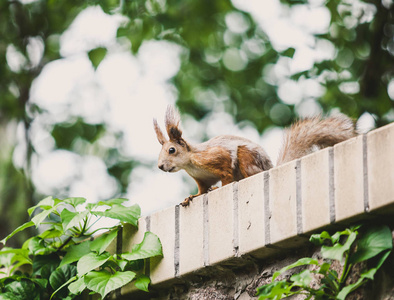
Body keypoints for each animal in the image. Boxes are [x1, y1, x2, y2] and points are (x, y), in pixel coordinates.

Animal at [154, 105, 358, 206]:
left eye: (171, 150)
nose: (160, 166)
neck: (190, 162)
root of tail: (269, 167)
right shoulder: (201, 179)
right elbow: (201, 191)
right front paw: (190, 197)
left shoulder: (215, 159)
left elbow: (226, 174)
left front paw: (219, 188)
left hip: (247, 159)